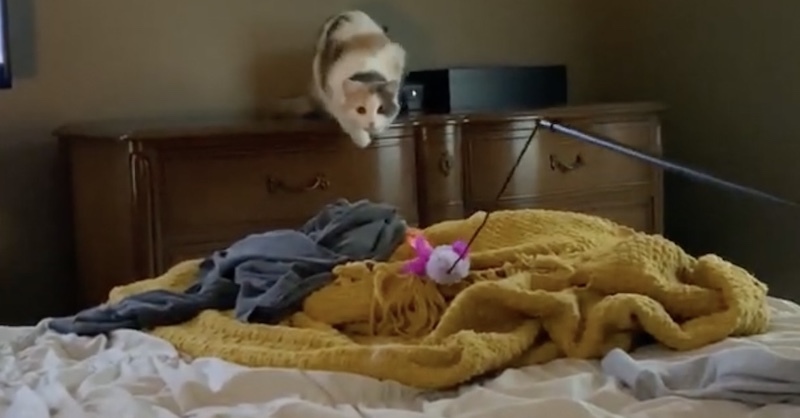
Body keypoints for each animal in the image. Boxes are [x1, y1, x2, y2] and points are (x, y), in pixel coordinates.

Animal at [270, 11, 407, 148]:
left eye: (380, 109)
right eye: (361, 109)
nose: (371, 124)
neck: (366, 68)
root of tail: (348, 12)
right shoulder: (332, 92)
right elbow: (346, 118)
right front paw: (362, 139)